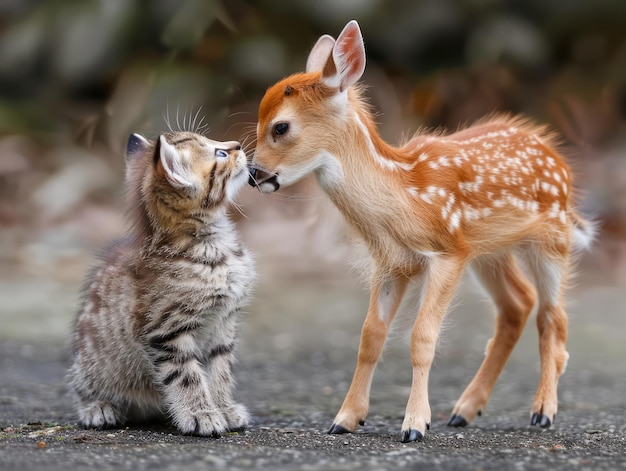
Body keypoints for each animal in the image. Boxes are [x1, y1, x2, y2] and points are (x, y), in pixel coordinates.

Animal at [67, 131, 254, 436]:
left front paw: (224, 407)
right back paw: (98, 407)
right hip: (90, 365)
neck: (212, 246)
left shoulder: (224, 323)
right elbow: (186, 375)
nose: (236, 145)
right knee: (81, 387)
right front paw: (201, 414)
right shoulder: (165, 330)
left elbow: (220, 369)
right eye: (220, 154)